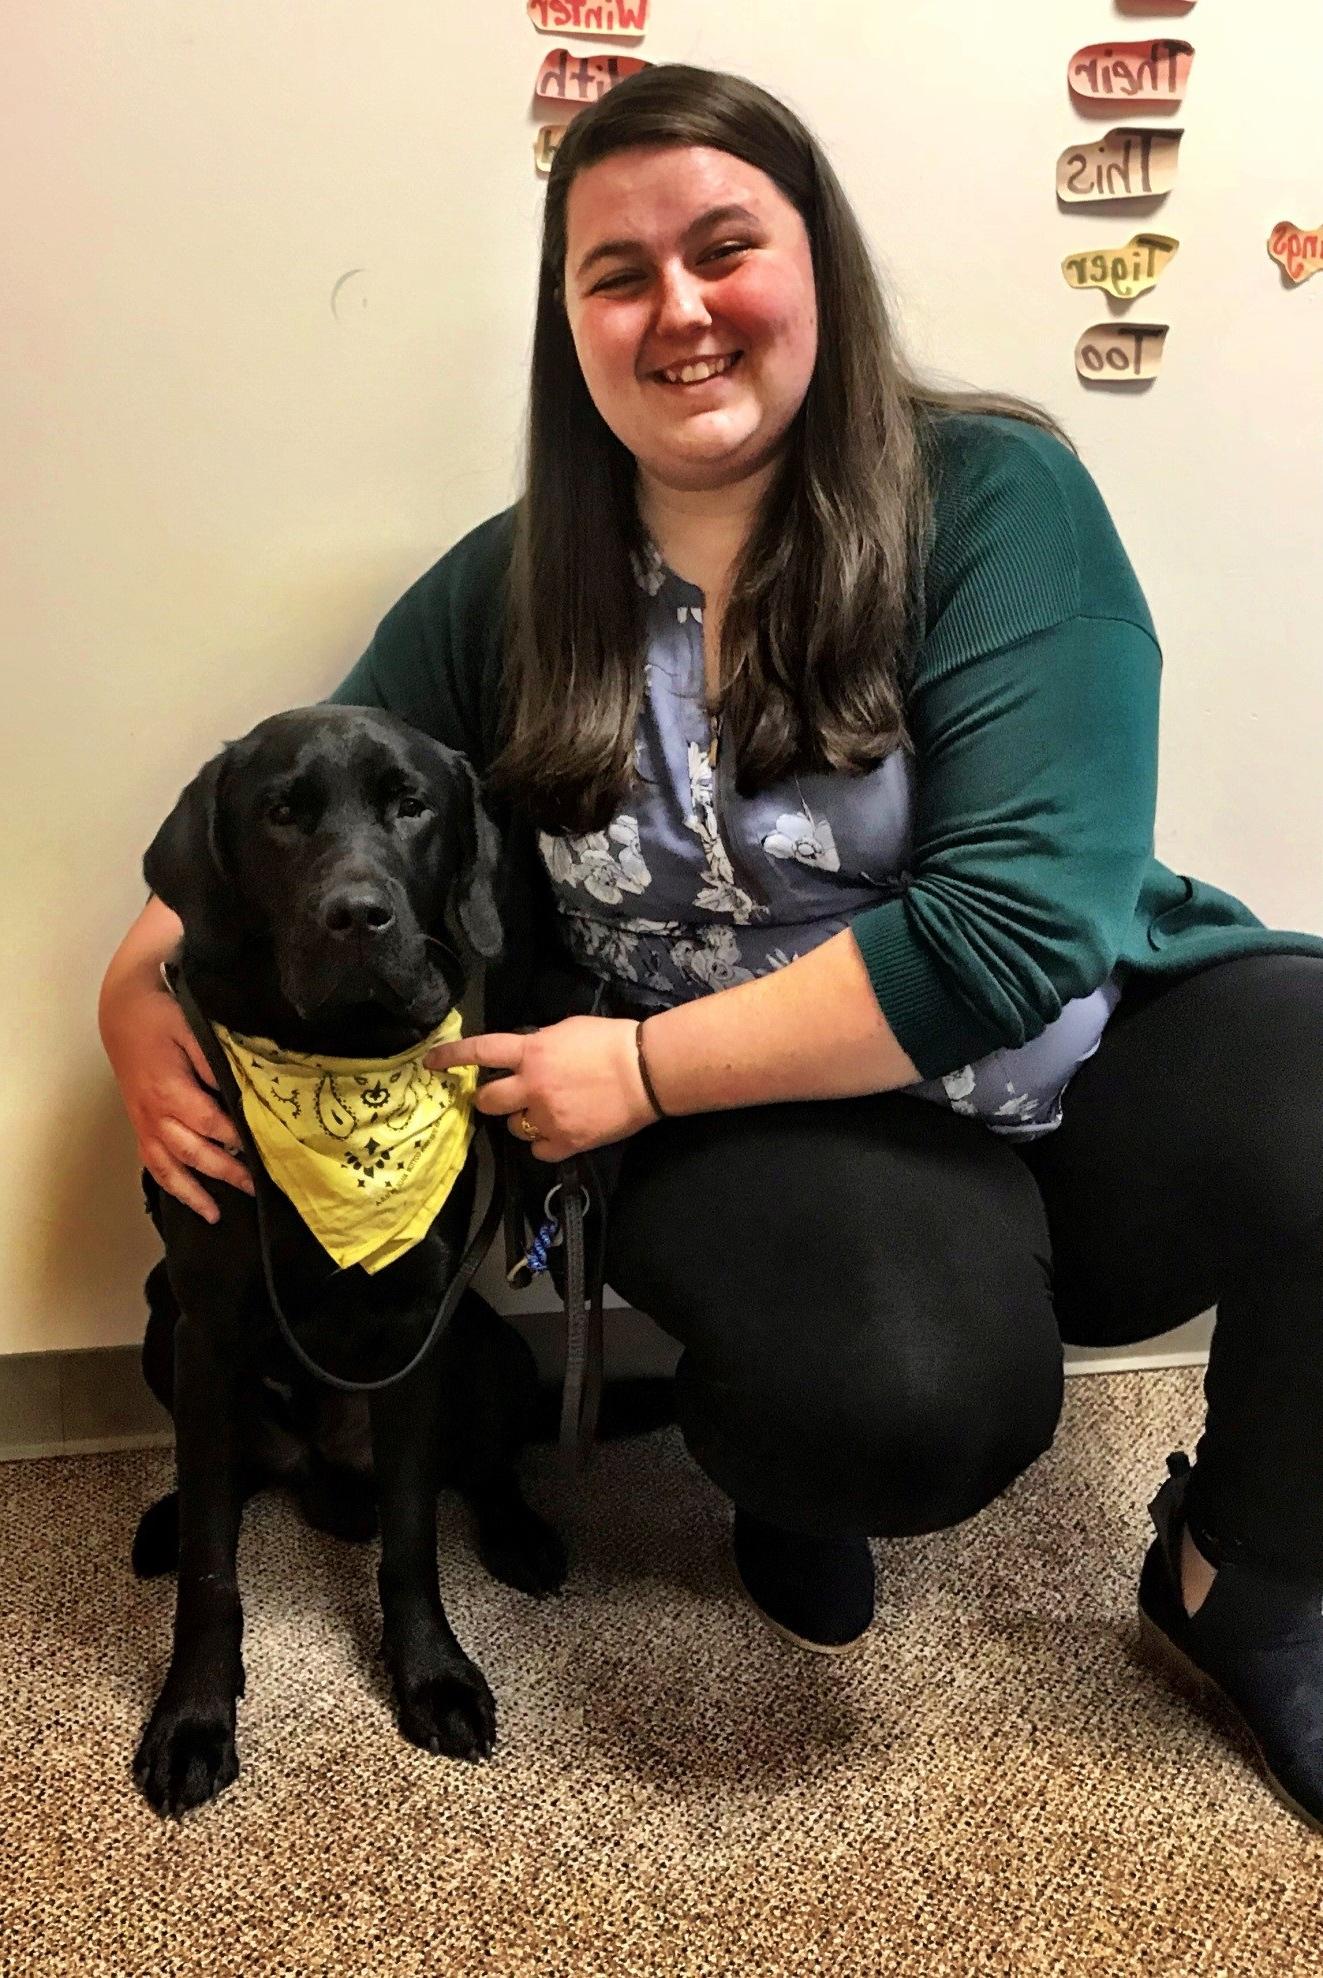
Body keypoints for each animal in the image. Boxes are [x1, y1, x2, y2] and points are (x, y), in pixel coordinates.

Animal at [132, 704, 561, 1811]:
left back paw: (521, 1535)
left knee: (484, 1468)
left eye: (412, 804)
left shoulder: (417, 1330)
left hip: (491, 1347)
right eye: (281, 813)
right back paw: (165, 1520)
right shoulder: (207, 1326)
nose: (357, 917)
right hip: (160, 1322)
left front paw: (434, 1676)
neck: (345, 1064)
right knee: (224, 1481)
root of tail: (323, 1476)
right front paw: (193, 1717)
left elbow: (412, 1536)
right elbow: (212, 1566)